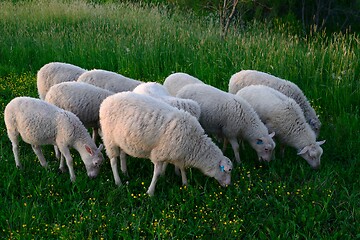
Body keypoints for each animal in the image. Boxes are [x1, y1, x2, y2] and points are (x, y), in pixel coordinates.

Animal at [99, 91, 233, 196]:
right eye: (228, 170)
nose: (228, 185)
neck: (194, 143)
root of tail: (106, 101)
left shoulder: (176, 153)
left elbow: (181, 168)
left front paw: (185, 184)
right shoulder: (159, 153)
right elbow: (157, 174)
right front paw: (150, 192)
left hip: (121, 139)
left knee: (122, 155)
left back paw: (125, 172)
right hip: (109, 139)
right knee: (113, 161)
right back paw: (118, 182)